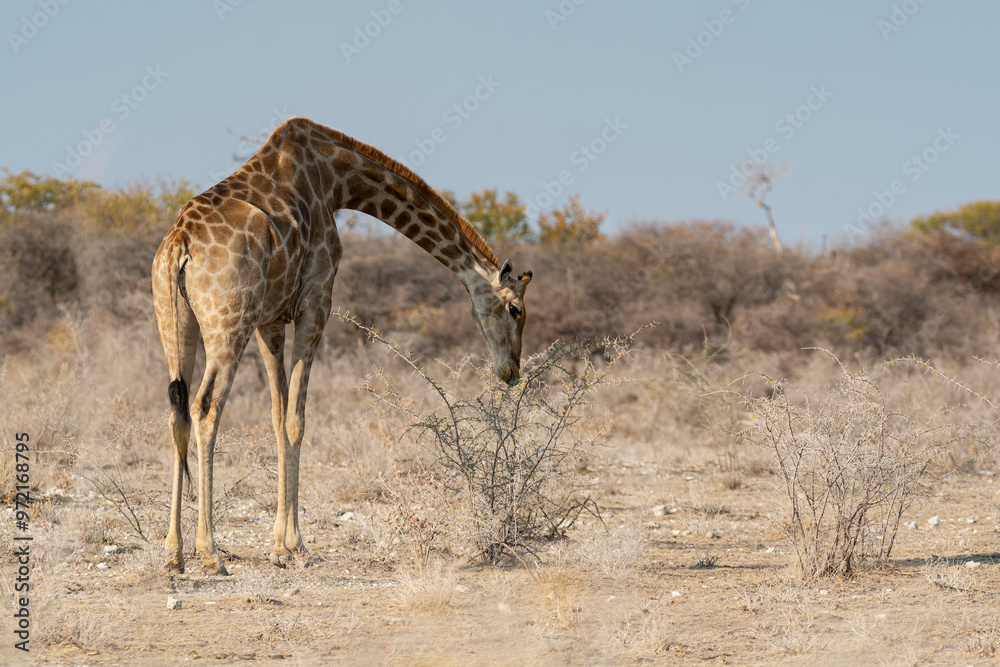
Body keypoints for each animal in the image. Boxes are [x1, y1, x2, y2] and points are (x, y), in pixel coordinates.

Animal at [152, 117, 532, 574]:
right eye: (515, 310)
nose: (511, 369)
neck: (337, 180)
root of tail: (179, 245)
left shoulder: (269, 321)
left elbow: (278, 418)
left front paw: (278, 546)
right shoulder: (315, 302)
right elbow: (296, 421)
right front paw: (297, 545)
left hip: (176, 324)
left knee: (176, 413)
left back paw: (173, 553)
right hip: (228, 324)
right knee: (206, 408)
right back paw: (210, 553)